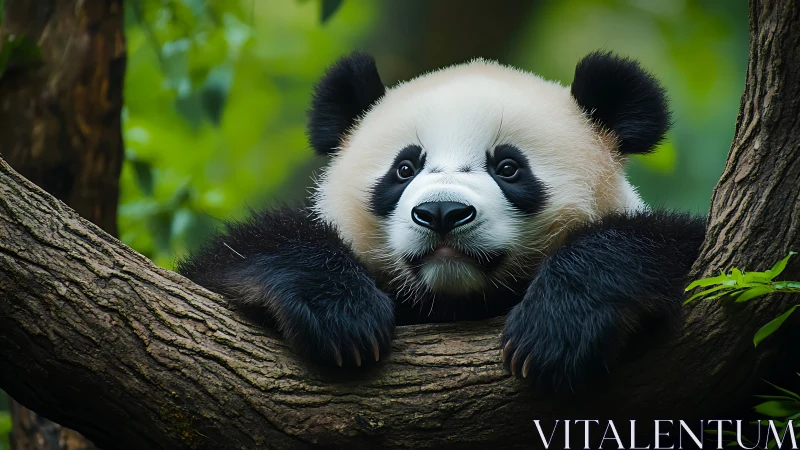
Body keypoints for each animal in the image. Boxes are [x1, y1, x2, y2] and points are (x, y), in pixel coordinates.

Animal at [177, 50, 705, 391]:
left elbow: (667, 244)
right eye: (405, 168)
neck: (454, 302)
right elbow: (228, 264)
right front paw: (342, 317)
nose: (442, 213)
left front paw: (556, 329)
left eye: (508, 167)